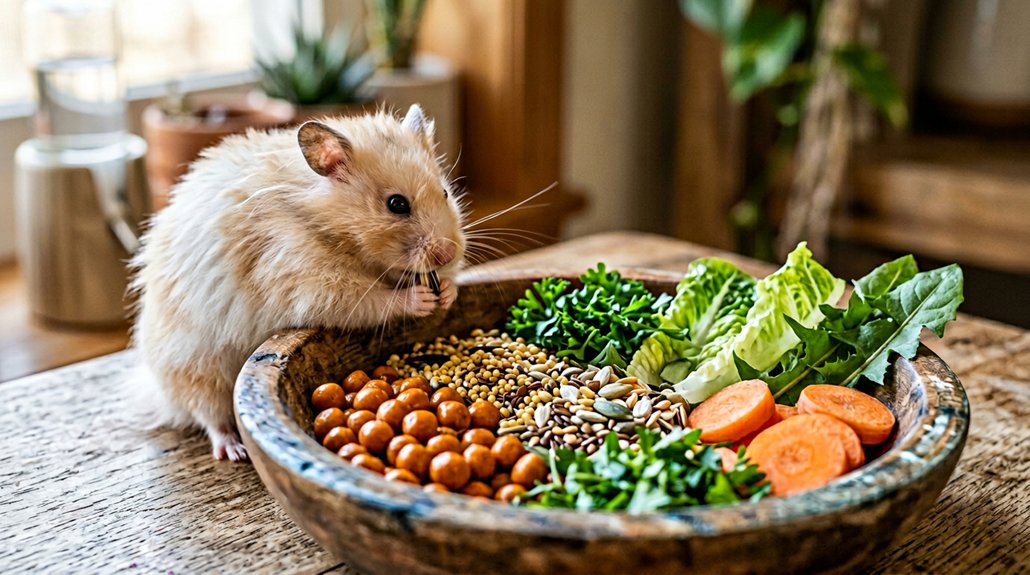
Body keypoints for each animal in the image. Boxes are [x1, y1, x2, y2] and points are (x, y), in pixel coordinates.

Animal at [130, 104, 465, 461]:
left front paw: (447, 292)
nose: (447, 254)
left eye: (445, 192)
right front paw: (424, 299)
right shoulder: (311, 284)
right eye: (397, 204)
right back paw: (234, 450)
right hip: (196, 369)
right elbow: (372, 299)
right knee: (208, 415)